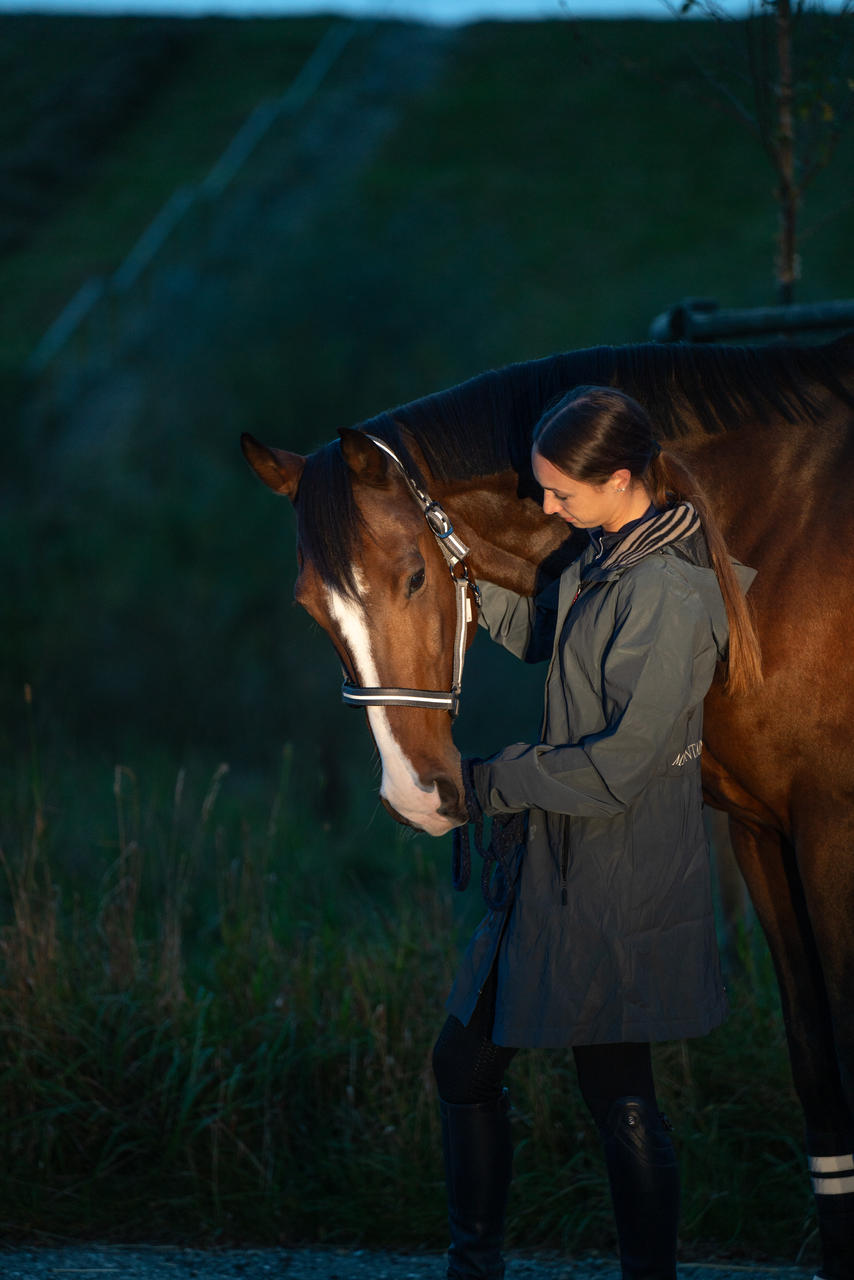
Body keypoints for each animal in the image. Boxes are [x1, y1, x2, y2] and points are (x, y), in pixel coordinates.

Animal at [240, 335, 854, 1274]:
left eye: (413, 575)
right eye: (313, 607)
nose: (417, 796)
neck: (769, 541)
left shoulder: (831, 827)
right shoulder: (766, 831)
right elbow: (819, 1063)